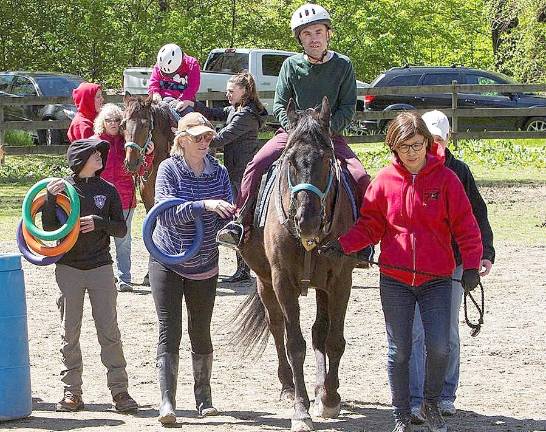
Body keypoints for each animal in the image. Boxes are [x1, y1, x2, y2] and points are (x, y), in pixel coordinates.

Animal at [235, 98, 360, 432]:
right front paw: (300, 409)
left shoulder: (340, 281)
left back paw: (321, 389)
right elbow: (295, 345)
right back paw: (288, 386)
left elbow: (333, 340)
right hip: (265, 282)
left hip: (321, 287)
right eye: (290, 161)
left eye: (327, 160)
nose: (307, 220)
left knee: (320, 332)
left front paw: (329, 398)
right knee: (276, 326)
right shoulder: (282, 281)